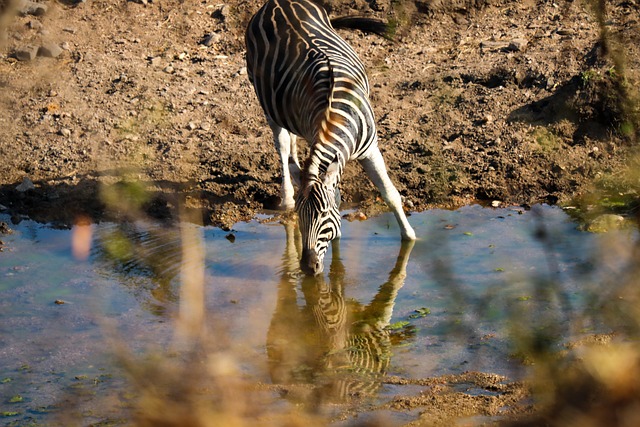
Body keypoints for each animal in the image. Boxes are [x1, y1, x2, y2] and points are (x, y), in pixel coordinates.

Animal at [245, 0, 416, 275]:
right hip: (266, 102)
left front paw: (410, 240)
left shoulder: (369, 148)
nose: (308, 268)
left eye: (325, 214)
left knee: (291, 147)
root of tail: (277, 2)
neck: (335, 115)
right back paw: (287, 196)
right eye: (301, 217)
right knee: (281, 145)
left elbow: (390, 194)